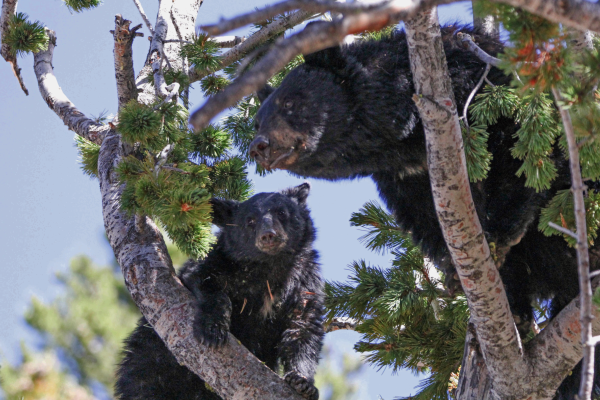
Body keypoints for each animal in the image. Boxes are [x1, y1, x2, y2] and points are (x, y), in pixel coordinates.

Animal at [115, 184, 326, 400]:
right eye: (250, 220)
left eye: (282, 212)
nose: (268, 235)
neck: (269, 268)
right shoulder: (221, 261)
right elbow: (207, 283)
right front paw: (213, 331)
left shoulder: (304, 283)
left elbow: (303, 329)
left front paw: (302, 382)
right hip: (147, 360)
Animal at [247, 25, 596, 400]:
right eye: (257, 120)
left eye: (290, 102)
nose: (259, 146)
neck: (406, 138)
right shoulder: (405, 178)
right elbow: (426, 217)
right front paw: (456, 270)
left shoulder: (477, 83)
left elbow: (519, 148)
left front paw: (500, 232)